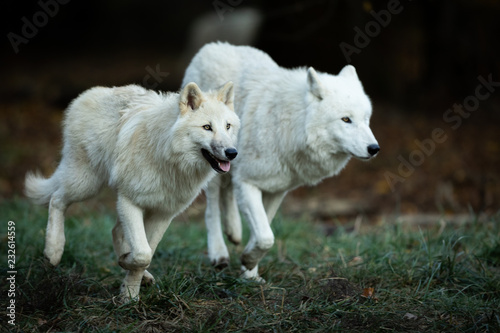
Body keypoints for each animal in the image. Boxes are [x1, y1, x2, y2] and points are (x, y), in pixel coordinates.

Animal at [25, 81, 240, 298]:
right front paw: (128, 291)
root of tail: (88, 93)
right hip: (85, 184)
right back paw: (53, 251)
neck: (169, 159)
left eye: (227, 126)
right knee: (56, 199)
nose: (232, 153)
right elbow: (143, 254)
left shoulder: (164, 212)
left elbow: (146, 253)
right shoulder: (129, 201)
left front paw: (129, 290)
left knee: (116, 231)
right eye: (207, 127)